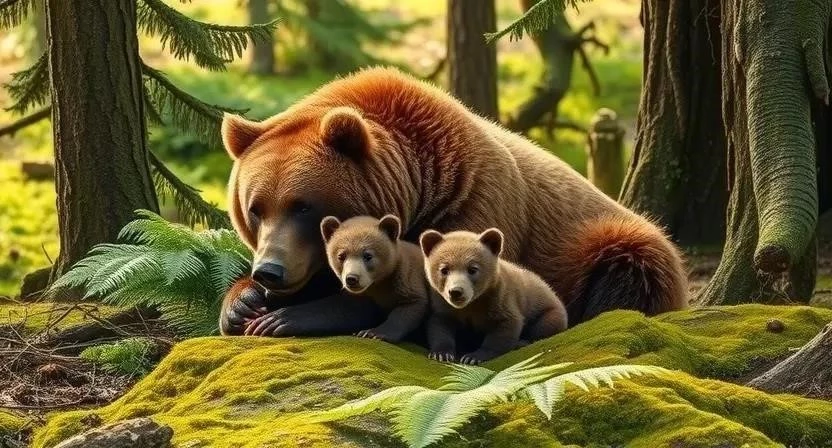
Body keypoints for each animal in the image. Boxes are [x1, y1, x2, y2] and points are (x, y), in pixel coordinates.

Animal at [219, 67, 687, 338]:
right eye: (255, 209)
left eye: (303, 206)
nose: (270, 270)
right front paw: (241, 304)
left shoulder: (471, 205)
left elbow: (423, 297)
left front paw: (285, 318)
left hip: (610, 245)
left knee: (629, 272)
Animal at [420, 228, 568, 364]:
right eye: (444, 270)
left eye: (472, 269)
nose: (456, 291)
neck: (473, 303)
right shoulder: (444, 305)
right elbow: (439, 325)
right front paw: (442, 354)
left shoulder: (500, 298)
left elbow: (505, 326)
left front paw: (473, 357)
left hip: (548, 312)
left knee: (545, 326)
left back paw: (522, 342)